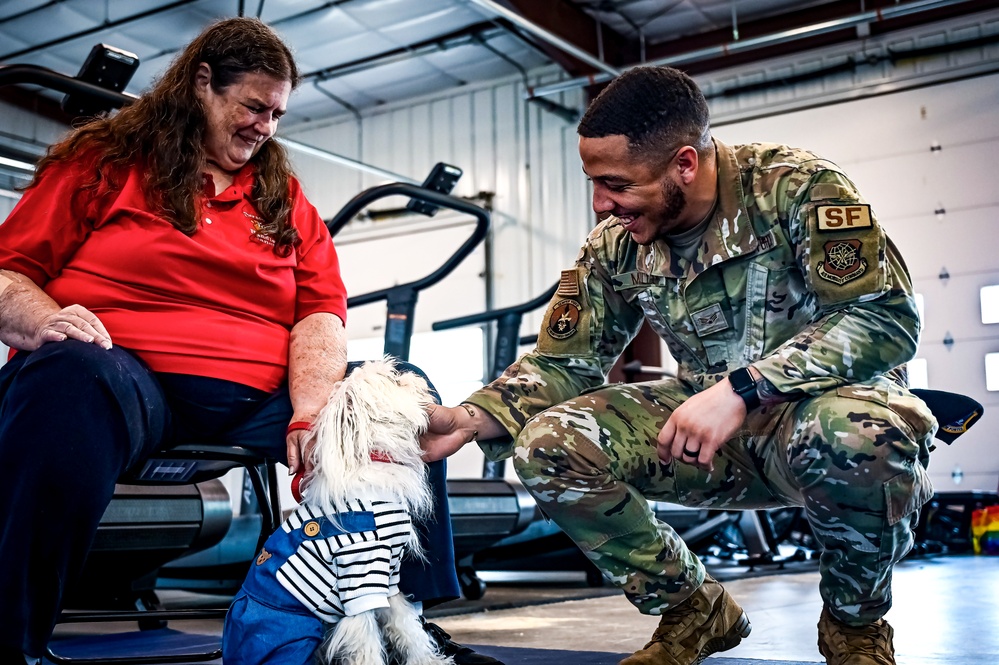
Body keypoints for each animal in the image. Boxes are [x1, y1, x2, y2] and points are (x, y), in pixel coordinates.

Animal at [223, 358, 454, 664]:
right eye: (392, 378)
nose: (409, 373)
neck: (374, 457)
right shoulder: (359, 580)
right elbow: (368, 647)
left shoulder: (388, 578)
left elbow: (407, 627)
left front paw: (428, 661)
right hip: (295, 630)